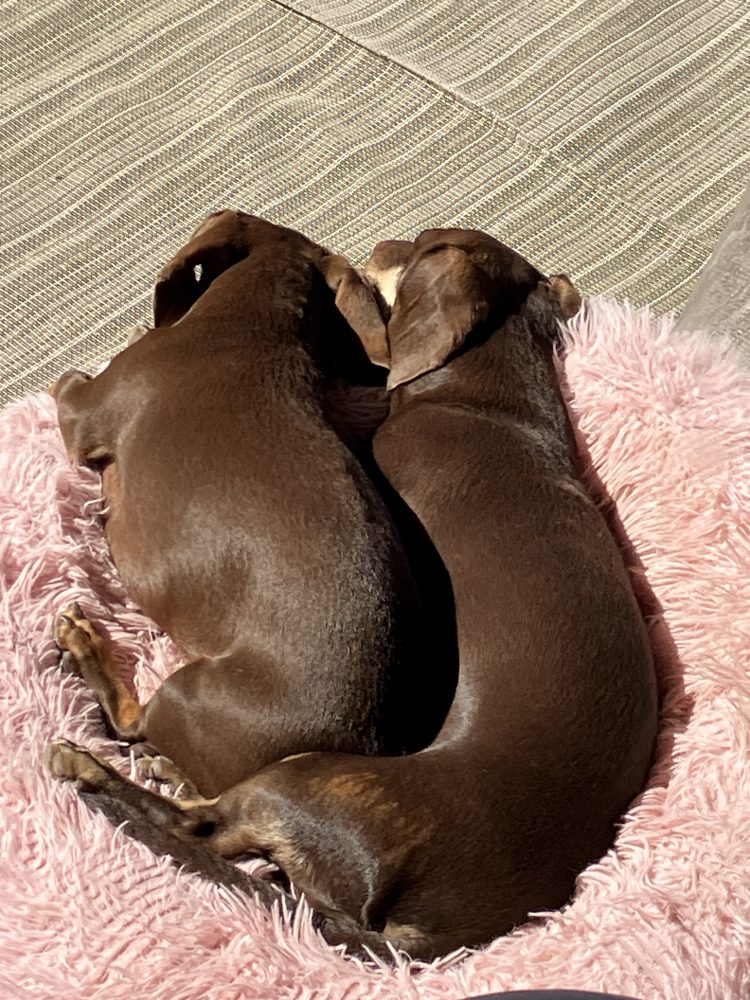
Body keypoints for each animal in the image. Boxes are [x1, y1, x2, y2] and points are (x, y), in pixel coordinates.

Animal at [48, 210, 452, 800]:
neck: (252, 323)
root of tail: (369, 741)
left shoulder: (83, 413)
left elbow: (67, 383)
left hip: (188, 695)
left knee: (130, 723)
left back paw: (83, 645)